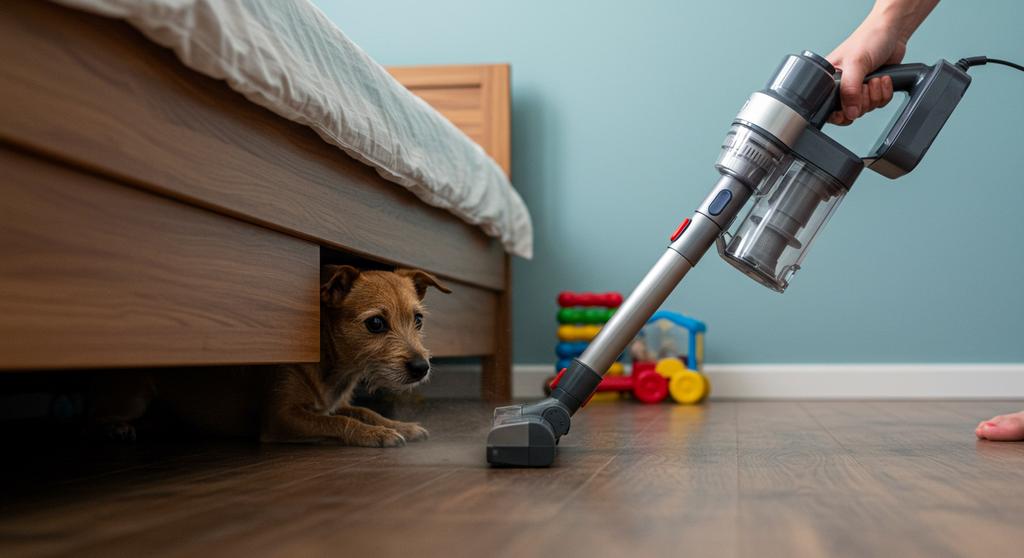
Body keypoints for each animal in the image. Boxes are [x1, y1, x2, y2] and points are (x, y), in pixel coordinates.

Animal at [90, 266, 450, 448]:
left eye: (418, 320)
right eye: (375, 323)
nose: (421, 367)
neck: (333, 368)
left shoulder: (334, 403)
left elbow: (364, 410)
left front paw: (399, 424)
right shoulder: (282, 417)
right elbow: (338, 421)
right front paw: (376, 435)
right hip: (136, 396)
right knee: (98, 415)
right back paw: (116, 428)